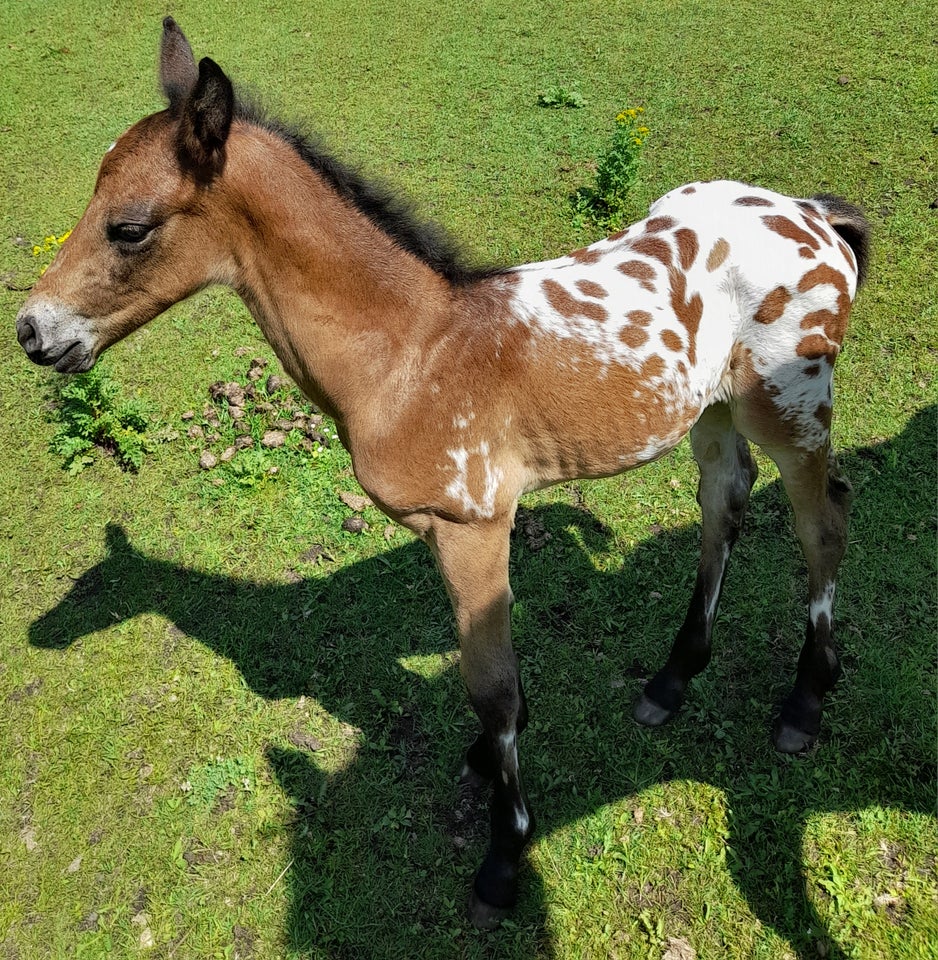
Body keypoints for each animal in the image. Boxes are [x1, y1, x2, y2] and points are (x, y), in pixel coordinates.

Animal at [14, 16, 868, 928]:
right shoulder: (439, 532)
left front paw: (503, 856)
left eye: (129, 228)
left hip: (791, 409)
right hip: (710, 410)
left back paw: (805, 701)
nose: (33, 330)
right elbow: (487, 679)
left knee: (823, 522)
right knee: (724, 502)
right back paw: (671, 680)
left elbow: (491, 687)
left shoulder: (476, 526)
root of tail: (816, 216)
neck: (412, 352)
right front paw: (488, 758)